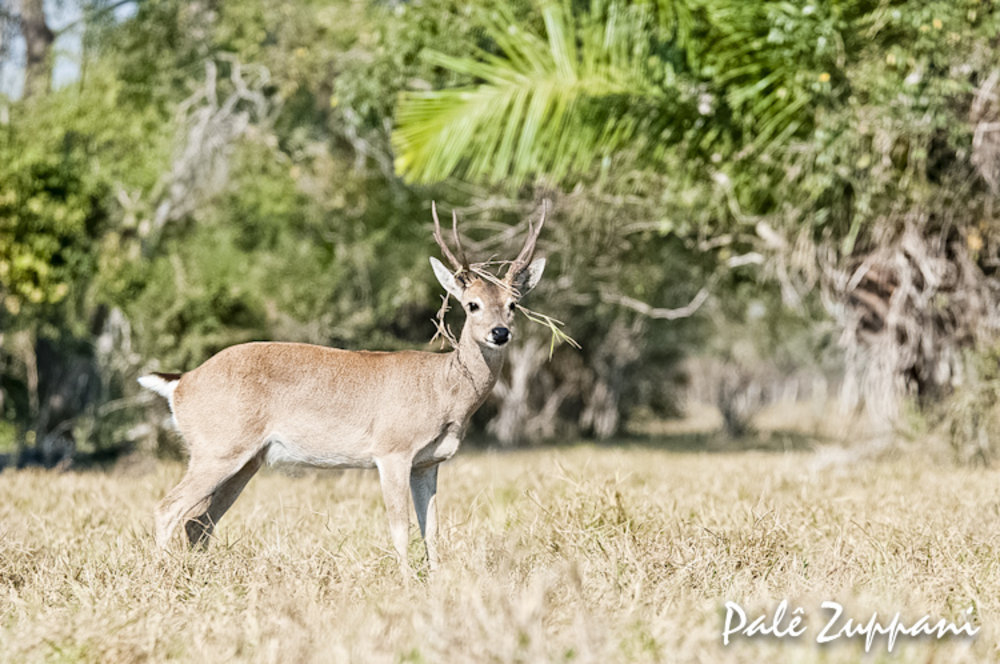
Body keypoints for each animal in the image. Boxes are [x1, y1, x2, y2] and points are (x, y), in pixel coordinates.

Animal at [138, 202, 547, 577]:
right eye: (472, 304)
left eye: (512, 304)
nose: (499, 333)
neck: (442, 388)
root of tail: (181, 382)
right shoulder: (392, 450)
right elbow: (400, 527)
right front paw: (406, 582)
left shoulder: (427, 463)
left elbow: (431, 529)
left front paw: (437, 580)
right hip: (217, 449)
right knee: (167, 508)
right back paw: (163, 574)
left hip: (244, 460)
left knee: (198, 522)